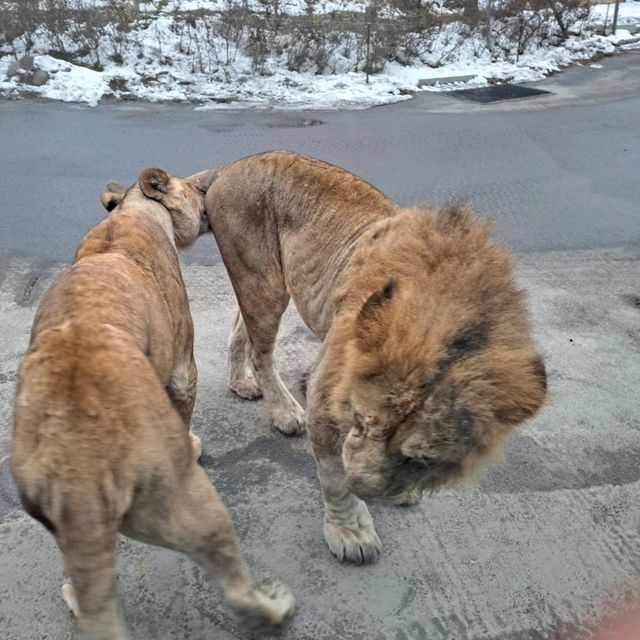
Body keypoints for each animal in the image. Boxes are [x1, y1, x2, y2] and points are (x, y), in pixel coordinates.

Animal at [10, 169, 296, 640]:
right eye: (195, 188)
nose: (208, 194)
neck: (131, 211)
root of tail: (76, 468)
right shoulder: (183, 367)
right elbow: (184, 407)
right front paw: (193, 442)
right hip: (187, 499)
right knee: (234, 587)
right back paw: (277, 604)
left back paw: (74, 596)